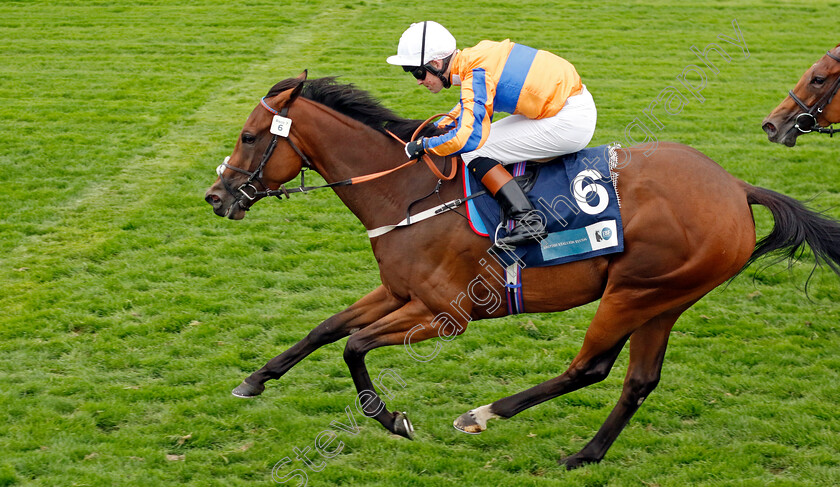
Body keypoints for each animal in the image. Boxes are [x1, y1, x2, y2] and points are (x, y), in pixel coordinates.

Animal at [203, 71, 840, 468]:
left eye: (249, 136)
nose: (216, 196)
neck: (406, 194)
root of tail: (735, 186)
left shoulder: (445, 315)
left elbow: (354, 347)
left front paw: (392, 420)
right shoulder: (397, 291)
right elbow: (327, 328)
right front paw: (255, 379)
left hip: (635, 292)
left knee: (591, 367)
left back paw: (483, 414)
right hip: (666, 300)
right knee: (638, 380)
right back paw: (585, 454)